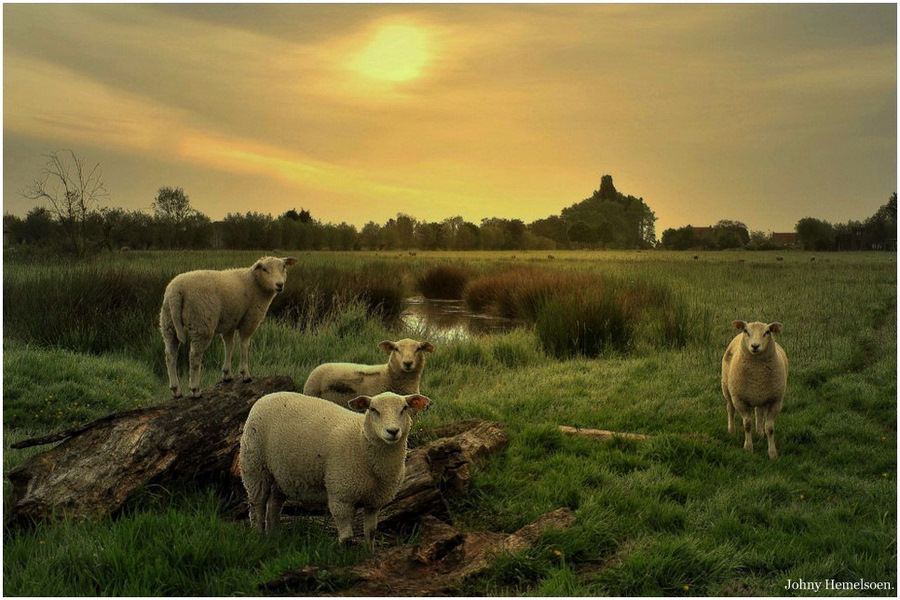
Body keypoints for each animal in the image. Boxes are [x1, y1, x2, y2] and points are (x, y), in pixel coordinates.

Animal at [159, 254, 298, 398]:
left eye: (284, 266)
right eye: (264, 269)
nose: (279, 284)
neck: (255, 283)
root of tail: (177, 291)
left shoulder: (229, 322)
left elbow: (229, 346)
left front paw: (227, 374)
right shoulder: (250, 319)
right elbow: (244, 345)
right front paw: (245, 374)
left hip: (168, 323)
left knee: (170, 354)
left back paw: (176, 390)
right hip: (202, 323)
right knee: (194, 355)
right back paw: (195, 389)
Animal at [239, 392, 428, 552]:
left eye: (404, 408)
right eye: (373, 410)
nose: (393, 431)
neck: (361, 442)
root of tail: (265, 397)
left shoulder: (374, 501)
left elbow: (371, 531)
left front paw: (369, 554)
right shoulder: (341, 495)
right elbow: (347, 537)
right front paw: (344, 556)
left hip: (282, 474)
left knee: (274, 504)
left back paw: (274, 535)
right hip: (255, 466)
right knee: (257, 504)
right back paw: (258, 536)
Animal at [720, 322, 792, 458]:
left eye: (767, 332)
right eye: (746, 331)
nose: (755, 346)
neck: (757, 375)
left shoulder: (775, 401)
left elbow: (770, 428)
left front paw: (772, 453)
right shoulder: (740, 400)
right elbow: (747, 425)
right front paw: (748, 448)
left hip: (761, 396)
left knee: (759, 412)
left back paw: (759, 432)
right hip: (727, 388)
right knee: (730, 409)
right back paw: (731, 430)